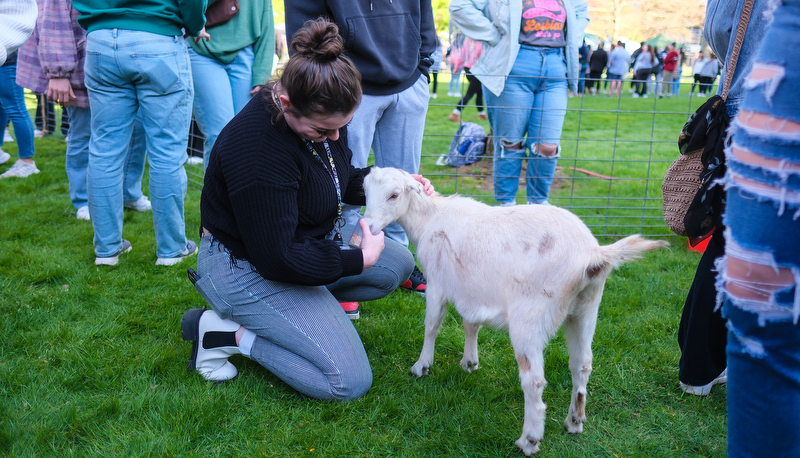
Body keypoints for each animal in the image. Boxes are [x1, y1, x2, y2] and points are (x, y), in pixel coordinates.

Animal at [362, 165, 668, 454]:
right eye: (365, 191)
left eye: (394, 195)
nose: (370, 227)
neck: (430, 219)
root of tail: (593, 255)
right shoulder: (471, 288)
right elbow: (471, 324)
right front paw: (469, 362)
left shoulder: (437, 284)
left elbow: (432, 325)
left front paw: (421, 366)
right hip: (586, 309)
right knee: (582, 364)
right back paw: (574, 422)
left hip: (530, 318)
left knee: (534, 381)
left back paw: (529, 440)